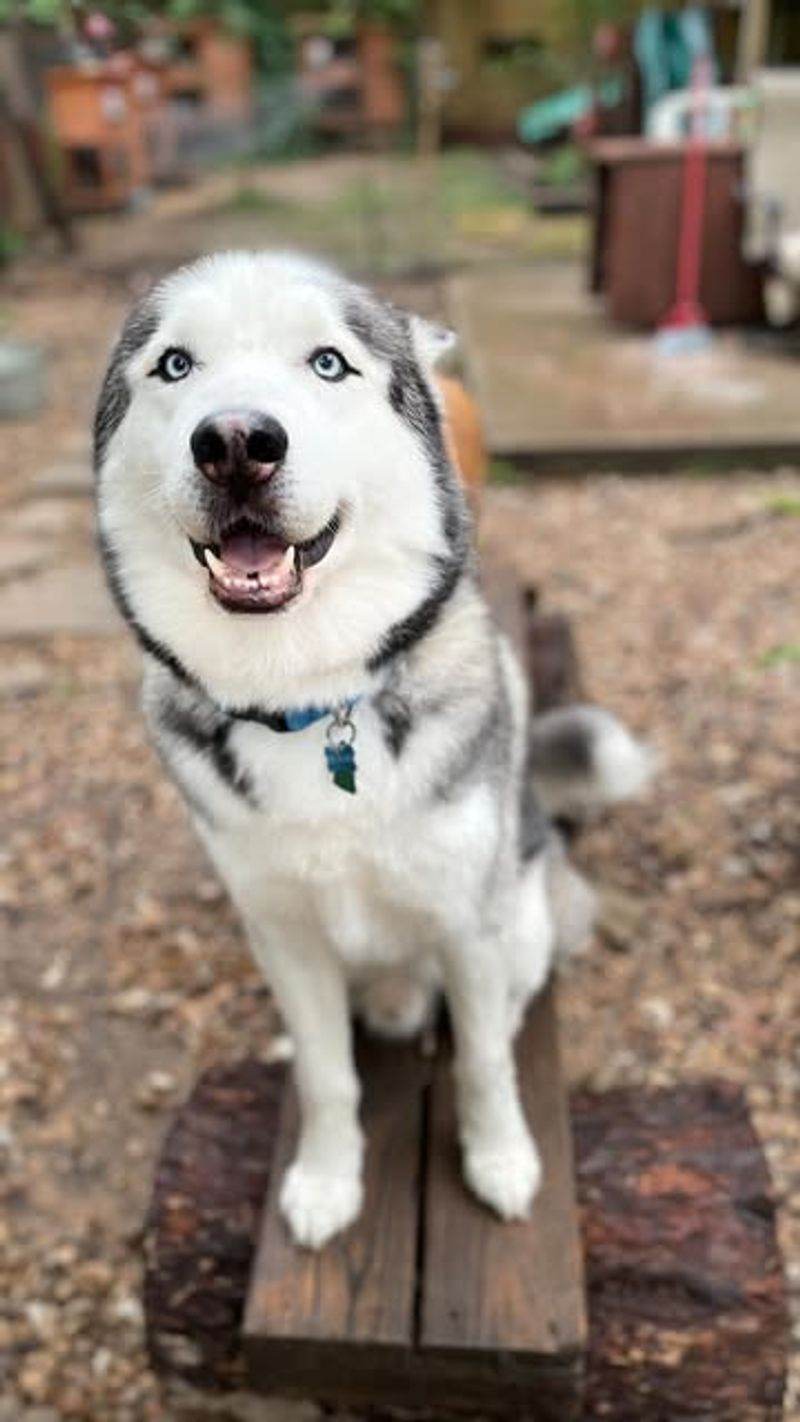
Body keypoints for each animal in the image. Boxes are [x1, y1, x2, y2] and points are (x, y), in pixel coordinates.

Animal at [97, 253, 653, 1245]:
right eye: (175, 365)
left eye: (328, 362)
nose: (235, 441)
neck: (306, 698)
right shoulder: (285, 934)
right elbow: (326, 1077)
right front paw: (326, 1179)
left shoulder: (469, 924)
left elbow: (483, 1064)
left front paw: (499, 1159)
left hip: (521, 914)